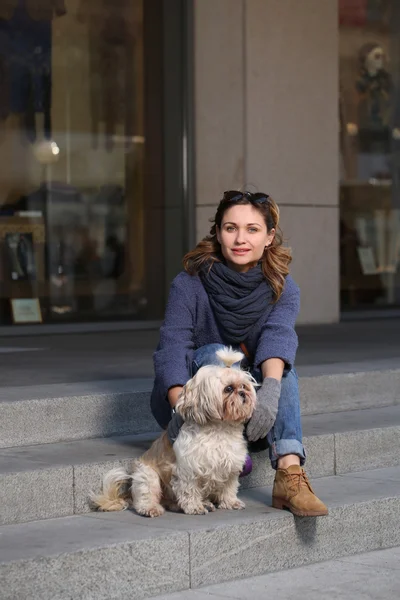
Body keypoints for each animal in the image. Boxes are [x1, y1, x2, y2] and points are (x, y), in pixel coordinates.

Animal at [90, 350, 256, 516]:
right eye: (228, 389)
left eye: (244, 386)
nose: (243, 393)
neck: (220, 429)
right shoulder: (188, 468)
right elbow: (189, 490)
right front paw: (194, 506)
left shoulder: (230, 464)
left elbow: (229, 487)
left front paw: (230, 502)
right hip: (147, 476)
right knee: (146, 496)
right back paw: (151, 508)